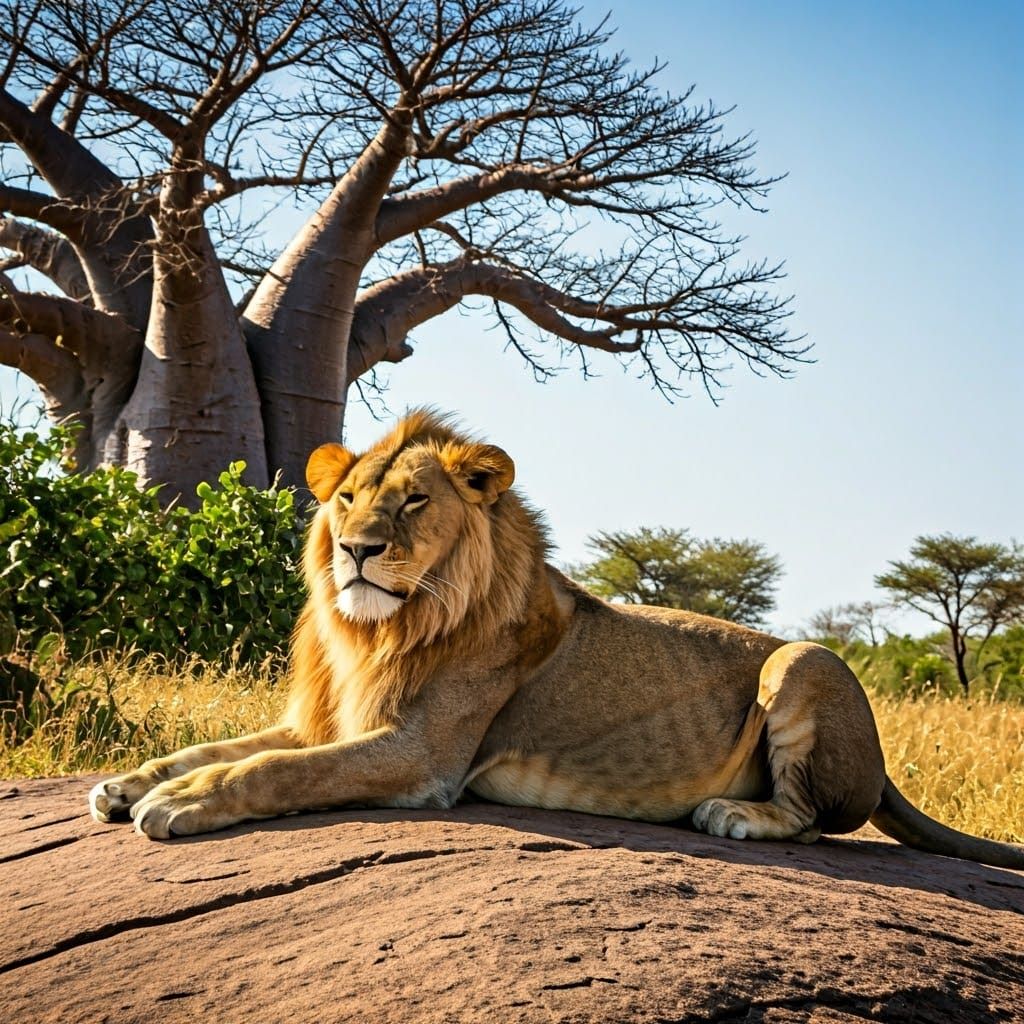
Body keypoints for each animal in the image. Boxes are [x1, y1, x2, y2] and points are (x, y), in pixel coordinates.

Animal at [89, 410, 1024, 869]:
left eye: (414, 502)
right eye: (347, 499)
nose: (356, 550)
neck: (377, 629)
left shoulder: (422, 757)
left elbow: (273, 770)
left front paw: (179, 802)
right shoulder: (324, 720)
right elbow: (217, 745)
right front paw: (129, 783)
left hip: (803, 659)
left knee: (815, 820)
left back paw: (733, 814)